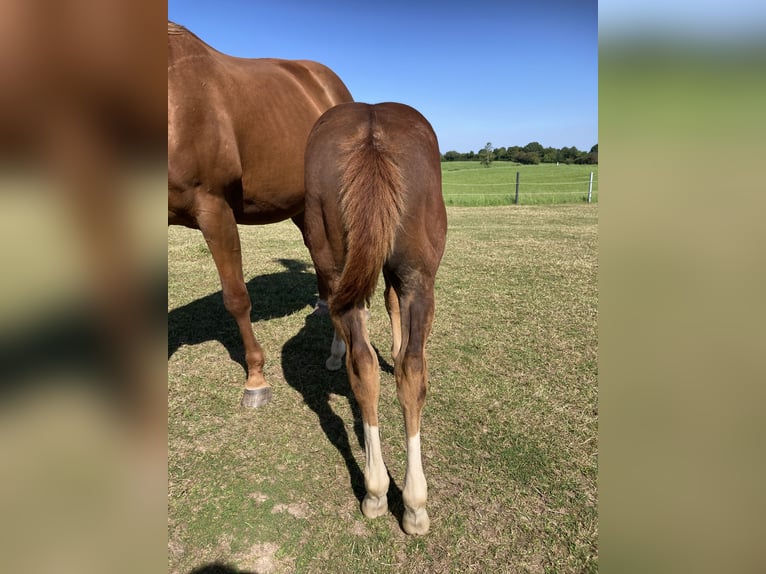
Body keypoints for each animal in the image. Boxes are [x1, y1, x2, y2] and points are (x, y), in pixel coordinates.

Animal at [304, 102, 450, 536]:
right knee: (407, 368)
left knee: (374, 368)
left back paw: (383, 491)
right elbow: (389, 304)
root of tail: (372, 134)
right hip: (418, 278)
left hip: (349, 267)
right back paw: (408, 503)